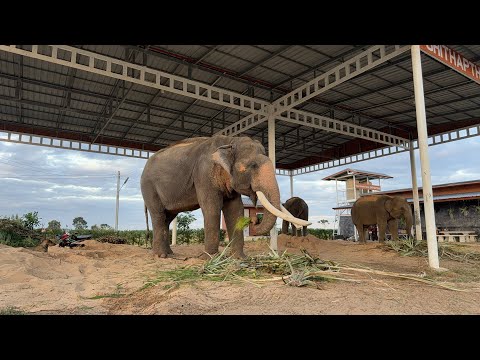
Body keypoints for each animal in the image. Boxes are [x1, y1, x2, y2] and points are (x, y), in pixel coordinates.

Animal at [141, 135, 310, 258]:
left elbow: (235, 210)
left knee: (167, 218)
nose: (254, 220)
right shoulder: (204, 175)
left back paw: (169, 254)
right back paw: (161, 256)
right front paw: (210, 258)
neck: (230, 141)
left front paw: (240, 258)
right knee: (158, 215)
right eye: (253, 166)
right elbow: (212, 208)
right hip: (149, 187)